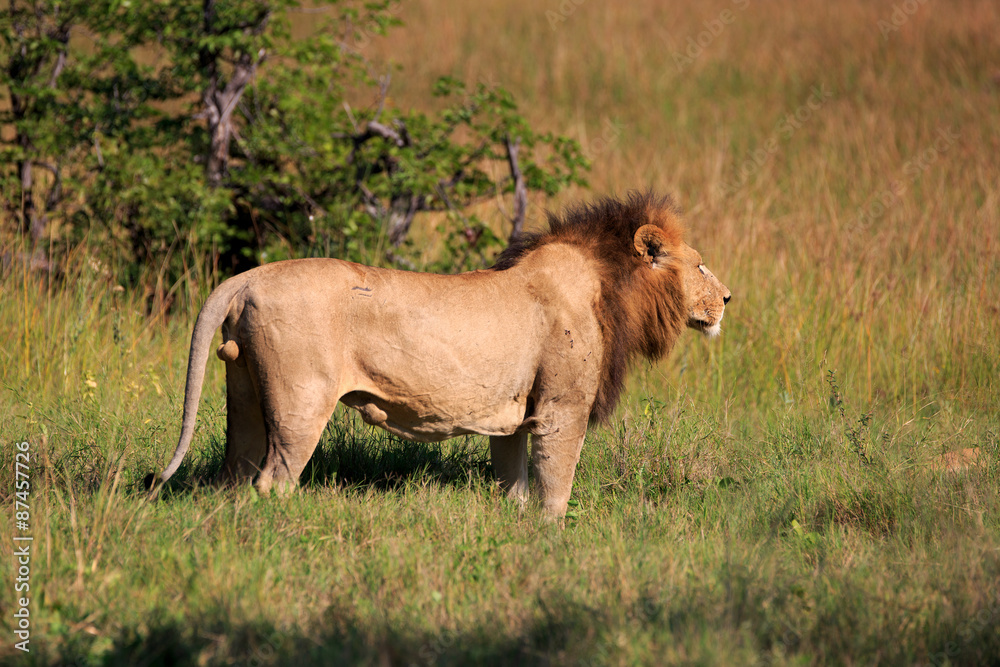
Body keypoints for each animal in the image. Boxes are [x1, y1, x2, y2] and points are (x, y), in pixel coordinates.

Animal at [150, 191, 730, 518]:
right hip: (300, 402)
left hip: (245, 392)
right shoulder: (561, 409)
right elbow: (556, 483)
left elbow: (514, 485)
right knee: (272, 481)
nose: (727, 298)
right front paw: (554, 537)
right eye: (701, 264)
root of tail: (248, 277)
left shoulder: (514, 417)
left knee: (235, 476)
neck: (607, 284)